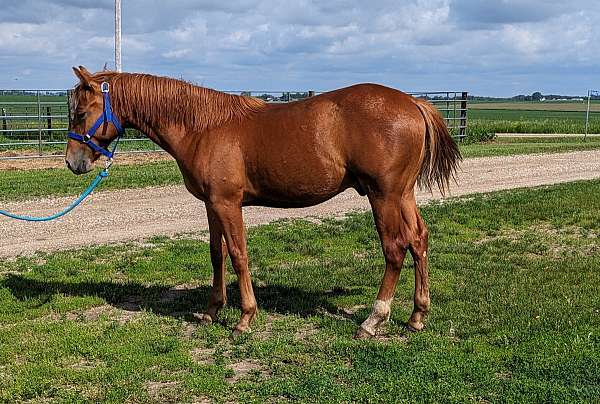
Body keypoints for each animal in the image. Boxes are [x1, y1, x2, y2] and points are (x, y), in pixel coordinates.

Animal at [64, 67, 460, 338]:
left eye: (81, 113)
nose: (73, 162)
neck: (203, 126)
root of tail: (413, 102)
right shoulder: (211, 205)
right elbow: (217, 254)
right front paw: (212, 311)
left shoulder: (228, 204)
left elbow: (239, 254)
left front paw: (245, 318)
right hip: (403, 195)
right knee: (419, 240)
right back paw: (417, 316)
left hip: (384, 196)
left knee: (395, 248)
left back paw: (373, 319)